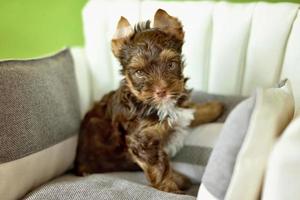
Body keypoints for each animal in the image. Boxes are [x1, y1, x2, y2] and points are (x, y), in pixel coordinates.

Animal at [75, 8, 223, 193]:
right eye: (139, 73)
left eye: (171, 65)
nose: (161, 91)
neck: (158, 106)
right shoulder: (141, 140)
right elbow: (158, 168)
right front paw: (171, 189)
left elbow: (189, 111)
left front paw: (214, 108)